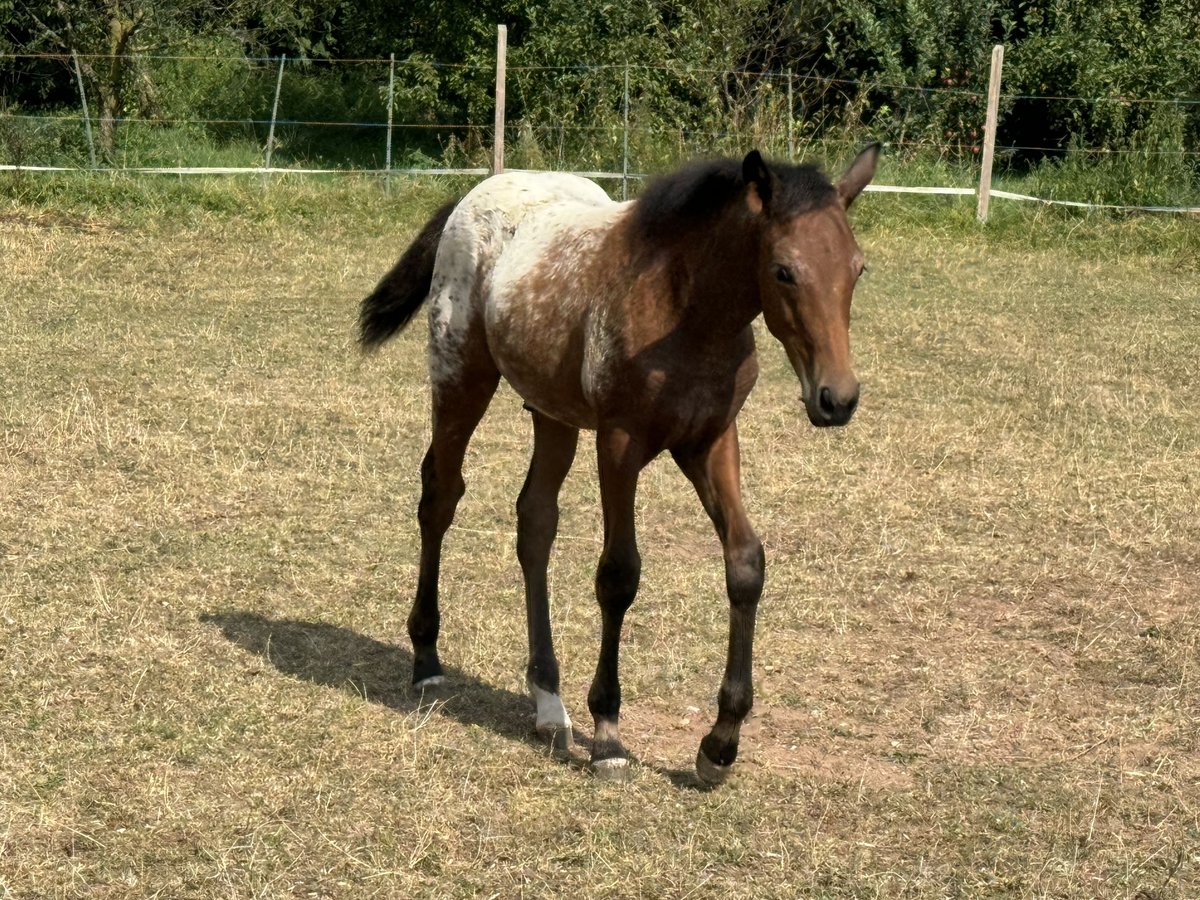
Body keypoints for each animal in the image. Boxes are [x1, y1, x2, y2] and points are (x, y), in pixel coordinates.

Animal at [360, 146, 878, 782]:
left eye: (857, 269)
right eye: (783, 270)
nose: (837, 398)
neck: (684, 309)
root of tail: (476, 193)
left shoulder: (711, 441)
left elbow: (745, 563)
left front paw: (720, 743)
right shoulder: (620, 443)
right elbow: (619, 574)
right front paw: (607, 730)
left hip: (551, 412)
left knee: (535, 521)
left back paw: (548, 704)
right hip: (461, 379)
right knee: (440, 495)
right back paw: (428, 659)